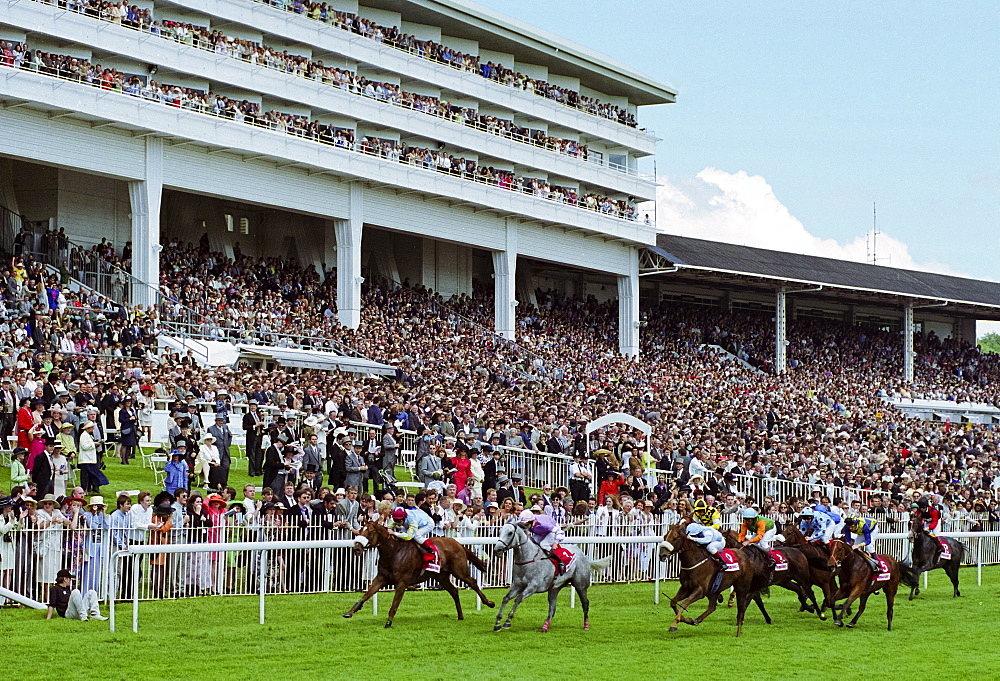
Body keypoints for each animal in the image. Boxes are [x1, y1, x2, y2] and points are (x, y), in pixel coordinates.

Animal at [344, 520, 496, 628]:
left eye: (370, 533)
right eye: (359, 530)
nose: (357, 548)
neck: (394, 552)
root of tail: (458, 543)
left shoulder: (402, 582)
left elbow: (394, 604)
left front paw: (388, 623)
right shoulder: (381, 578)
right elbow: (368, 593)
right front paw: (350, 611)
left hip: (459, 571)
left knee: (473, 582)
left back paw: (489, 603)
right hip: (441, 576)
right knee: (454, 591)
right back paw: (460, 616)